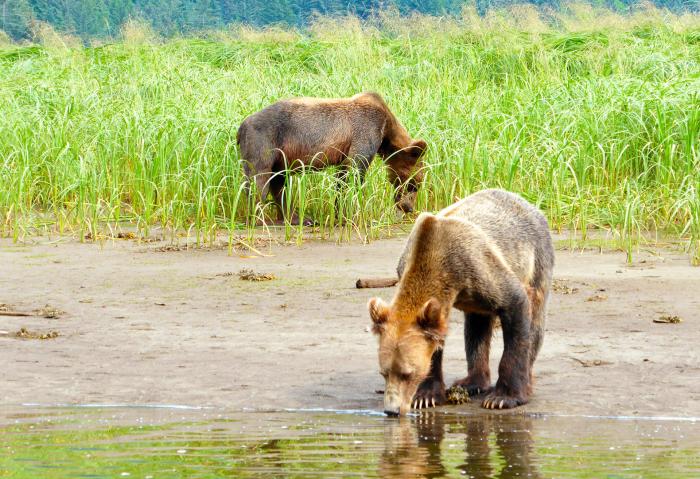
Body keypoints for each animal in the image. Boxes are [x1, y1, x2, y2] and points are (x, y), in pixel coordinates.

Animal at [236, 92, 427, 223]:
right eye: (414, 184)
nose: (409, 208)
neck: (387, 130)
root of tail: (241, 126)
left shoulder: (345, 150)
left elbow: (343, 177)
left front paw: (340, 213)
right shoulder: (366, 130)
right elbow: (356, 170)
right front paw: (355, 214)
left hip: (280, 154)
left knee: (279, 181)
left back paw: (298, 218)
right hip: (264, 140)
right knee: (259, 178)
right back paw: (259, 217)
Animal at [368, 189, 554, 415]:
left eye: (407, 373)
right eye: (384, 372)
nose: (392, 410)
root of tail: (526, 202)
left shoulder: (479, 268)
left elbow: (516, 305)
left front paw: (502, 398)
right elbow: (436, 342)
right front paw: (425, 396)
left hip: (536, 258)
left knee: (535, 322)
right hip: (478, 301)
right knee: (476, 330)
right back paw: (471, 383)